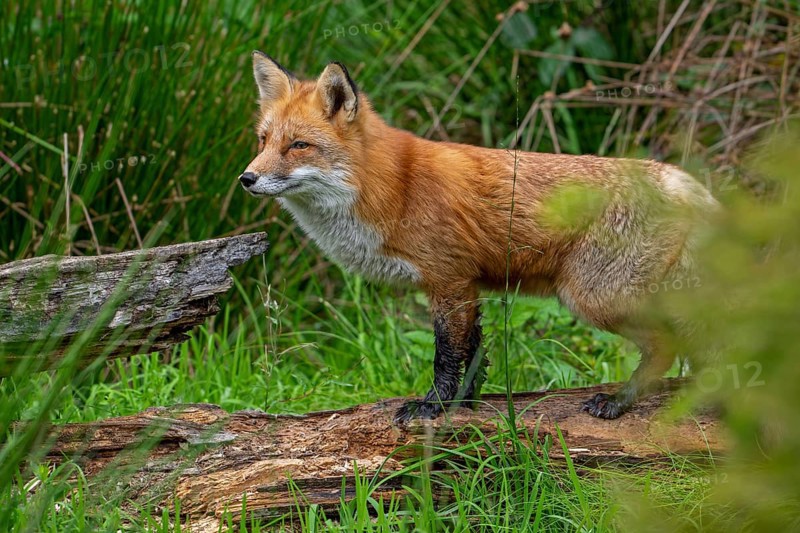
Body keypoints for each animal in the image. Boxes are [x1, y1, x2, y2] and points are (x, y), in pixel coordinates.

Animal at [239, 51, 719, 423]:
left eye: (298, 146)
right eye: (263, 141)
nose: (246, 179)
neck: (394, 188)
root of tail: (681, 180)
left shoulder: (449, 280)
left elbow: (448, 356)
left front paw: (432, 408)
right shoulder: (468, 284)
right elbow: (474, 356)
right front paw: (464, 407)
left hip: (593, 297)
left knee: (667, 345)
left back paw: (621, 401)